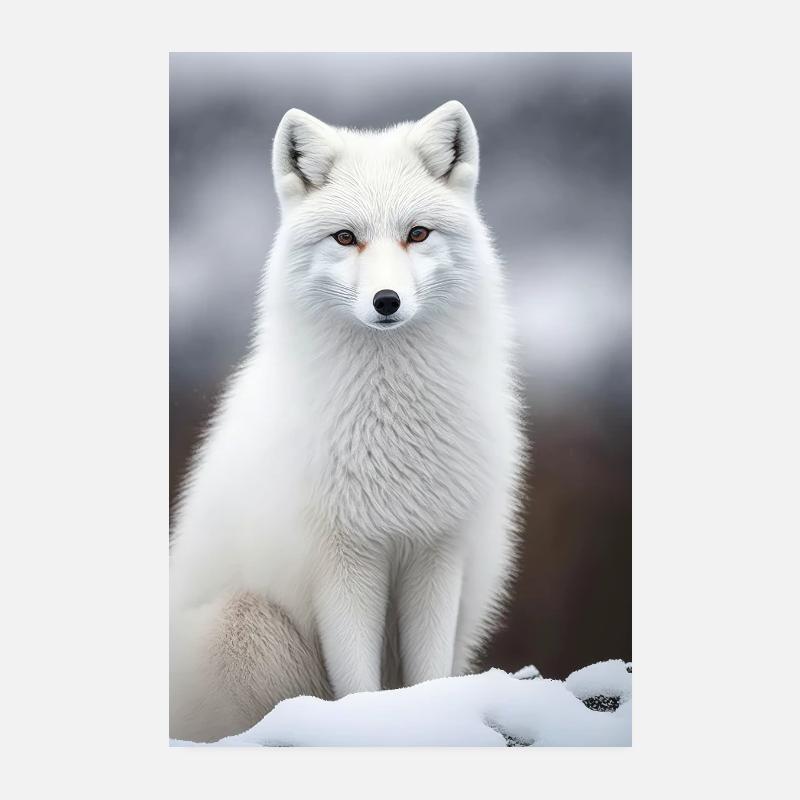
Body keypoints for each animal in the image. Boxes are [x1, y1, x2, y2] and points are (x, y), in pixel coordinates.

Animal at [169, 100, 526, 742]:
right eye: (345, 237)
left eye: (417, 233)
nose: (387, 301)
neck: (392, 425)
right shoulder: (342, 559)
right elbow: (357, 681)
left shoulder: (436, 551)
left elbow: (428, 673)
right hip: (247, 627)